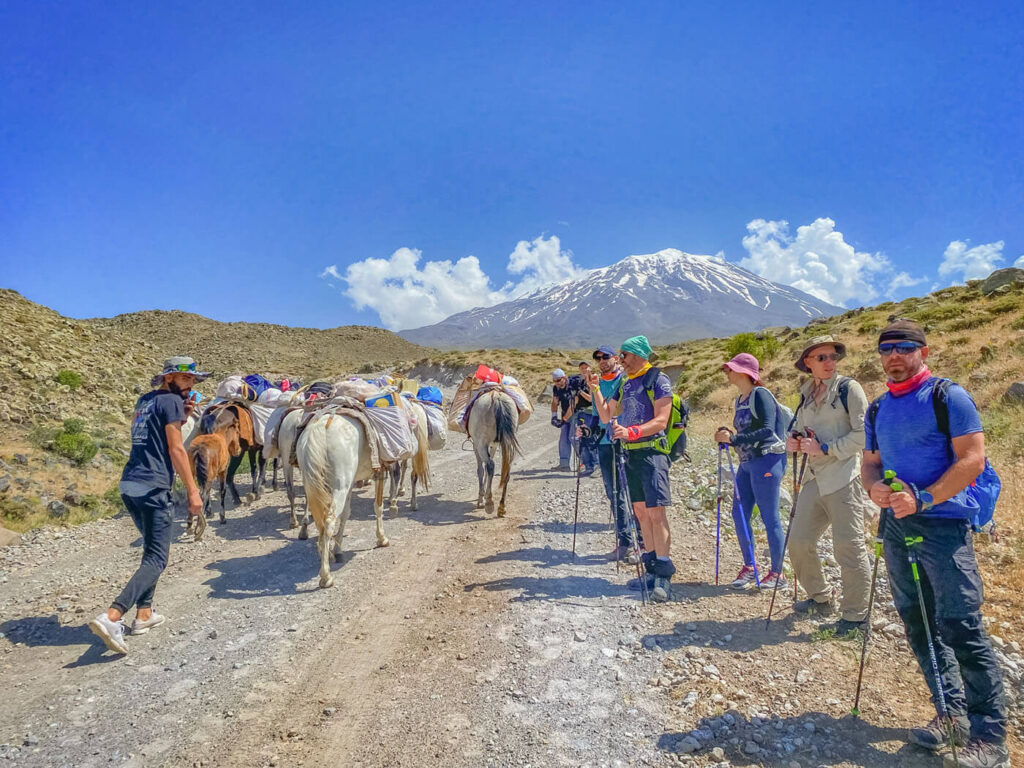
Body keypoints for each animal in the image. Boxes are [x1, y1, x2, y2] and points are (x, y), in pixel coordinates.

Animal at [299, 415, 389, 589]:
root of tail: (320, 429)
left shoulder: (351, 483)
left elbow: (346, 513)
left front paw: (338, 549)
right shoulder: (379, 471)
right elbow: (378, 506)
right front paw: (382, 538)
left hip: (313, 485)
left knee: (321, 522)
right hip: (339, 485)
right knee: (328, 521)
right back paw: (326, 576)